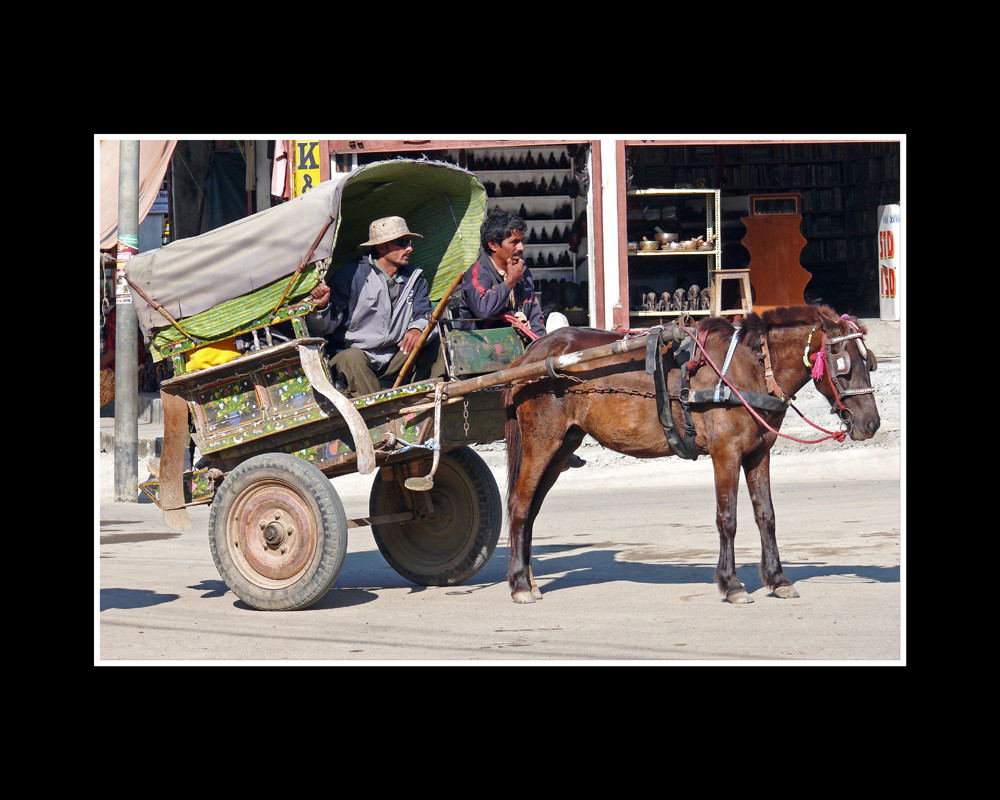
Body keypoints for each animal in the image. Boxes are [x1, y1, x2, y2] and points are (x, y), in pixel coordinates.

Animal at [504, 304, 880, 604]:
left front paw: (778, 579)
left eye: (869, 362)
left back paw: (529, 579)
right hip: (542, 444)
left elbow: (766, 516)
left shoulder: (759, 453)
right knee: (519, 505)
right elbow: (727, 519)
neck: (750, 368)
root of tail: (533, 353)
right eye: (842, 363)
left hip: (563, 446)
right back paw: (520, 584)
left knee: (532, 509)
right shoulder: (725, 453)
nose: (871, 423)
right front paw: (731, 584)